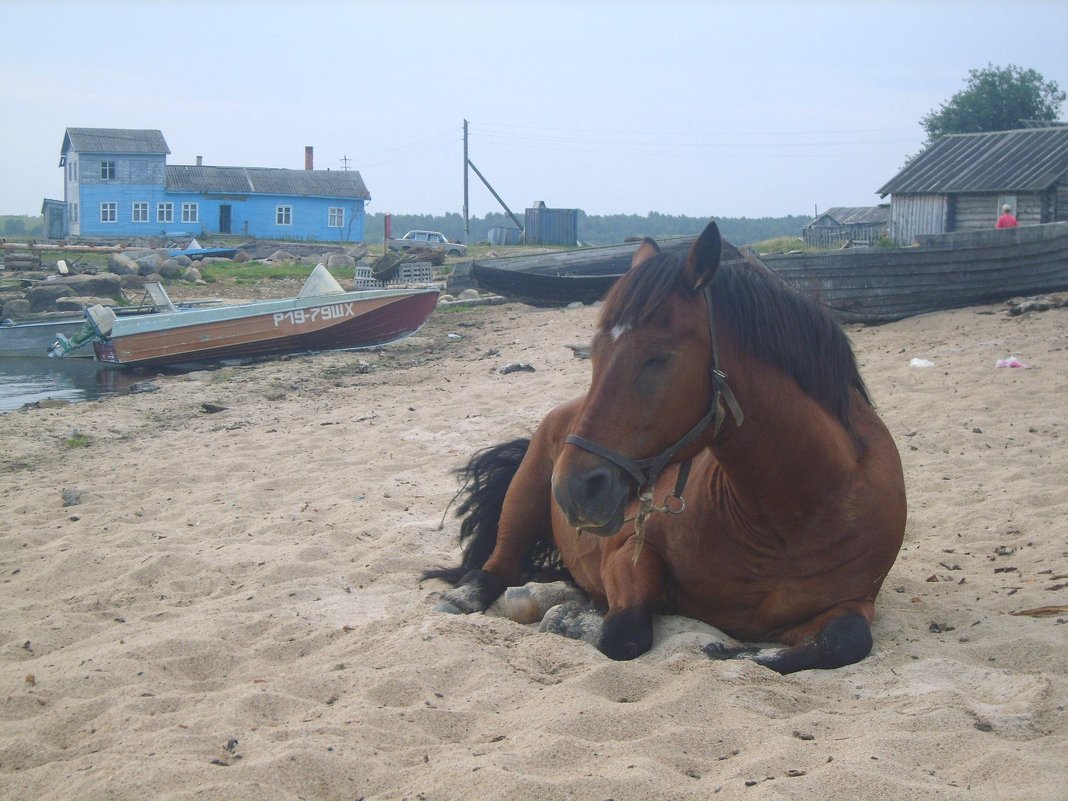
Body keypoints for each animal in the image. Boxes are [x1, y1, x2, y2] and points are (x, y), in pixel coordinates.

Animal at [420, 221, 905, 679]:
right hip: (525, 496)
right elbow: (624, 633)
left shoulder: (855, 602)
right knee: (496, 567)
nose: (577, 488)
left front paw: (737, 651)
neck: (792, 519)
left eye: (660, 356)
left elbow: (844, 641)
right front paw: (570, 621)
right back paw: (472, 597)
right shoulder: (628, 554)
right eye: (595, 353)